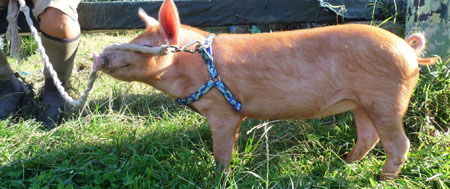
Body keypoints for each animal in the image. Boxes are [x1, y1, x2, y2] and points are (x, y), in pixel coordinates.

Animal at [92, 0, 440, 179]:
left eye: (143, 46)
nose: (98, 56)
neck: (194, 65)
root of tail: (409, 50)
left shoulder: (221, 109)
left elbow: (221, 150)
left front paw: (218, 177)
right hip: (363, 103)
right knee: (370, 137)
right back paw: (344, 163)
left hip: (386, 98)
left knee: (399, 143)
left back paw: (381, 179)